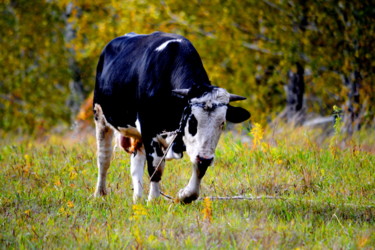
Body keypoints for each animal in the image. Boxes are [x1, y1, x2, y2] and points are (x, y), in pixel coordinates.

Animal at [93, 31, 251, 203]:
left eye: (222, 123)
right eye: (192, 121)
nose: (206, 158)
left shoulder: (197, 148)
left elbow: (199, 168)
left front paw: (185, 195)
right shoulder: (149, 130)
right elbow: (155, 168)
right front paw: (154, 201)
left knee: (136, 164)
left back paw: (137, 199)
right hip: (100, 117)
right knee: (104, 158)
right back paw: (100, 193)